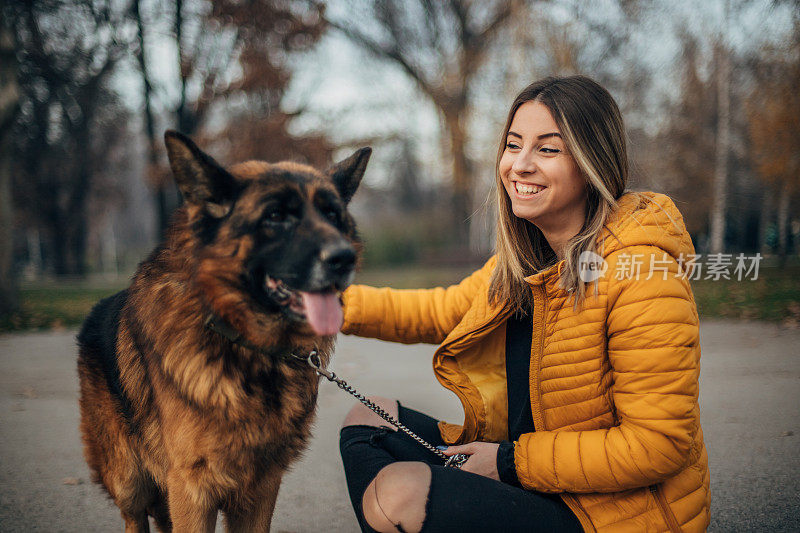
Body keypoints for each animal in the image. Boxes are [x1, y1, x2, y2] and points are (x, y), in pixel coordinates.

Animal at [75, 130, 368, 532]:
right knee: (134, 515)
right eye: (275, 216)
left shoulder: (262, 488)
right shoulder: (192, 490)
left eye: (332, 215)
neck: (246, 348)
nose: (344, 259)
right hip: (129, 480)